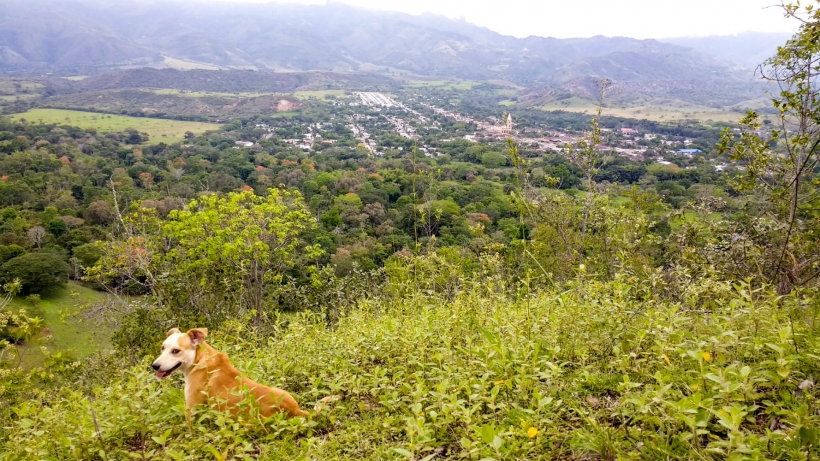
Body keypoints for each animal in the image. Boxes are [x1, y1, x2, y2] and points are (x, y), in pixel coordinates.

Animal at [151, 326, 310, 418]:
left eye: (176, 351)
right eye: (162, 348)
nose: (154, 366)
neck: (200, 358)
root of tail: (295, 410)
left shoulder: (191, 408)